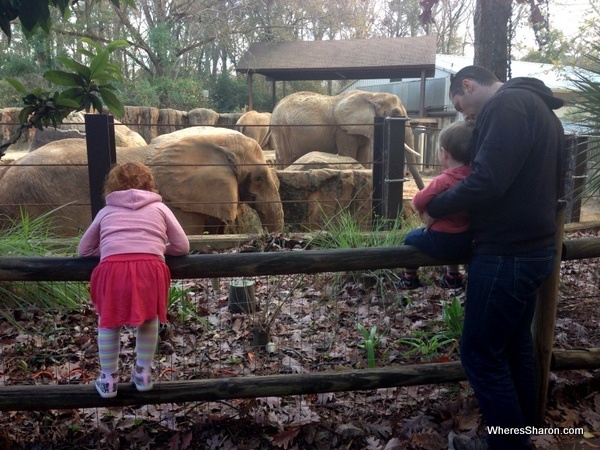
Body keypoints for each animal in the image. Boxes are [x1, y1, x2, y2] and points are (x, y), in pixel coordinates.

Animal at [272, 89, 426, 190]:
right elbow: (349, 154)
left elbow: (363, 155)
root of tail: (276, 106)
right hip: (282, 128)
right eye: (395, 113)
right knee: (286, 157)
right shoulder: (343, 129)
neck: (373, 95)